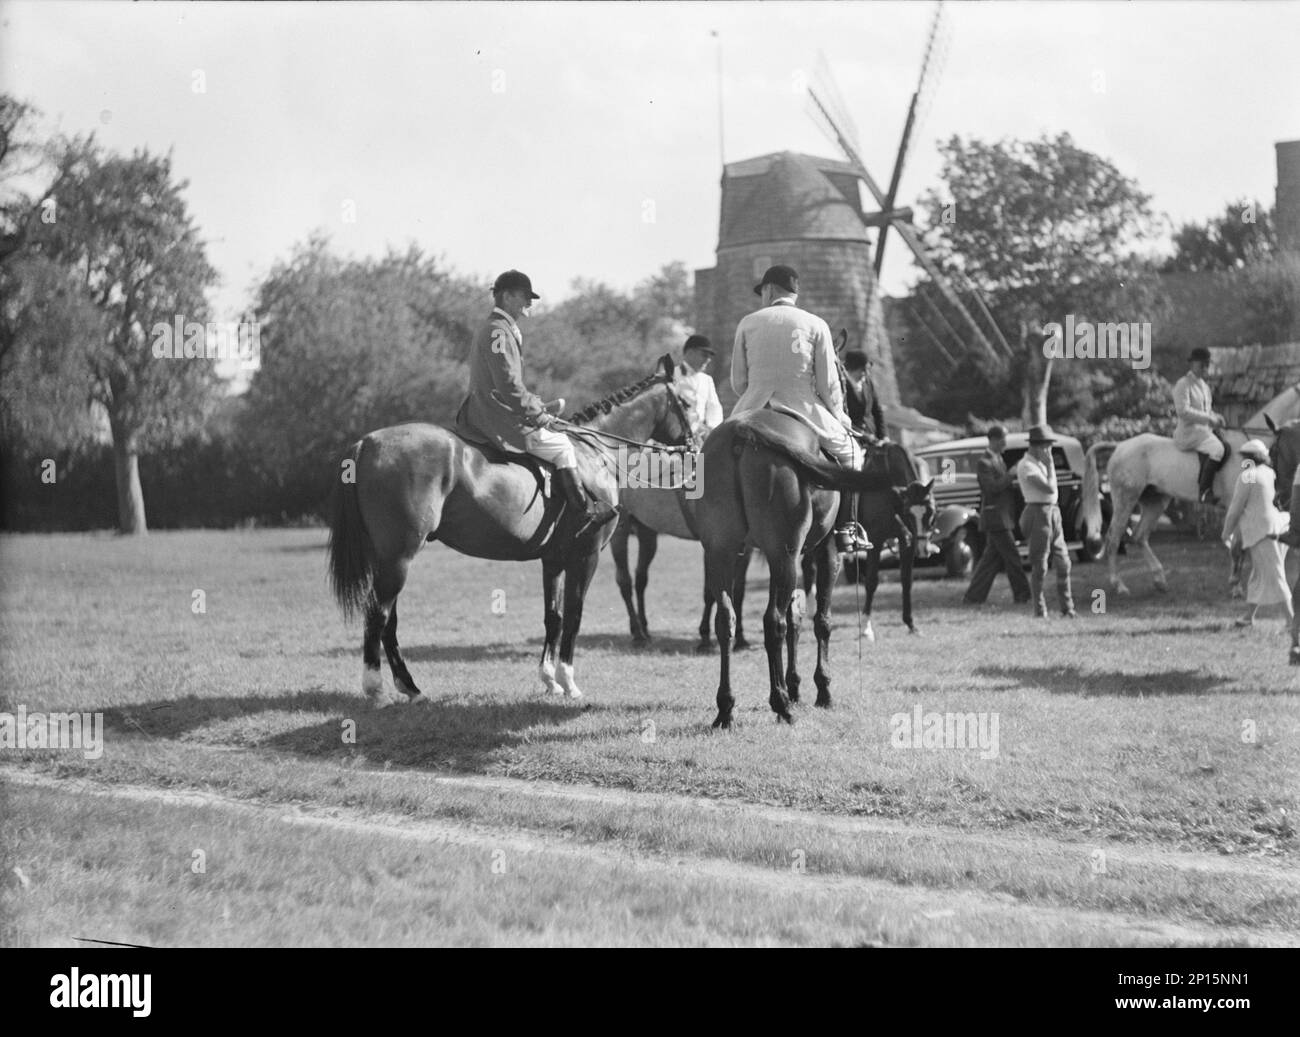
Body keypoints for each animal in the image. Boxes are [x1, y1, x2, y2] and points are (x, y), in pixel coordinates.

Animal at [327, 358, 691, 706]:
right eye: (687, 402)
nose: (693, 443)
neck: (592, 454)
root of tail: (368, 442)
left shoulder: (554, 559)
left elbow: (554, 616)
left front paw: (550, 681)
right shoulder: (585, 555)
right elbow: (574, 614)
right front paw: (569, 683)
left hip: (388, 559)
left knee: (388, 620)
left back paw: (410, 687)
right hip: (399, 558)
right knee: (378, 614)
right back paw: (376, 689)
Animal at [696, 410, 899, 727]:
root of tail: (743, 429)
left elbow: (795, 617)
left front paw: (795, 687)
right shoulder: (826, 553)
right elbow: (821, 620)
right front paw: (822, 691)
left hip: (723, 554)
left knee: (726, 620)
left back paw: (726, 708)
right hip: (784, 554)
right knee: (773, 622)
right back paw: (780, 704)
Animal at [1081, 426, 1253, 597]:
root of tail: (1120, 445)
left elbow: (1245, 546)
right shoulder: (1235, 507)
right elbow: (1237, 547)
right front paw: (1236, 587)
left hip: (1155, 503)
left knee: (1139, 536)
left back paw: (1159, 580)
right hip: (1126, 499)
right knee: (1113, 540)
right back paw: (1119, 585)